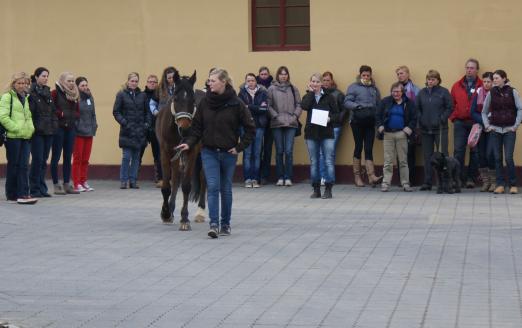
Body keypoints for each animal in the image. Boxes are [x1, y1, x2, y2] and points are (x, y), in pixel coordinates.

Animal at [154, 71, 205, 231]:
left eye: (193, 100)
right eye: (175, 98)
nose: (185, 129)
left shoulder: (192, 151)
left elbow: (186, 186)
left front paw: (184, 219)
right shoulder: (165, 152)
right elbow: (167, 185)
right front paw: (166, 213)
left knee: (203, 177)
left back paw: (200, 212)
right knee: (176, 177)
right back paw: (170, 208)